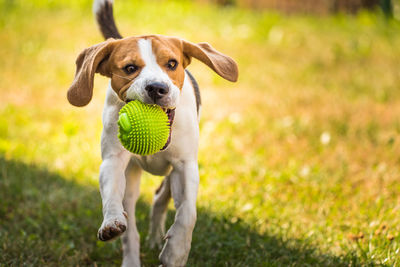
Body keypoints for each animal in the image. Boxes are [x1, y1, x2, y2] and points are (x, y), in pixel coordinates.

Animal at [67, 1, 239, 266]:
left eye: (172, 64)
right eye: (130, 68)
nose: (157, 88)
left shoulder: (185, 166)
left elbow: (187, 213)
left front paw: (176, 252)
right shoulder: (113, 161)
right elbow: (111, 196)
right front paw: (111, 221)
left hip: (171, 173)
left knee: (160, 198)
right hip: (132, 177)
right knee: (131, 225)